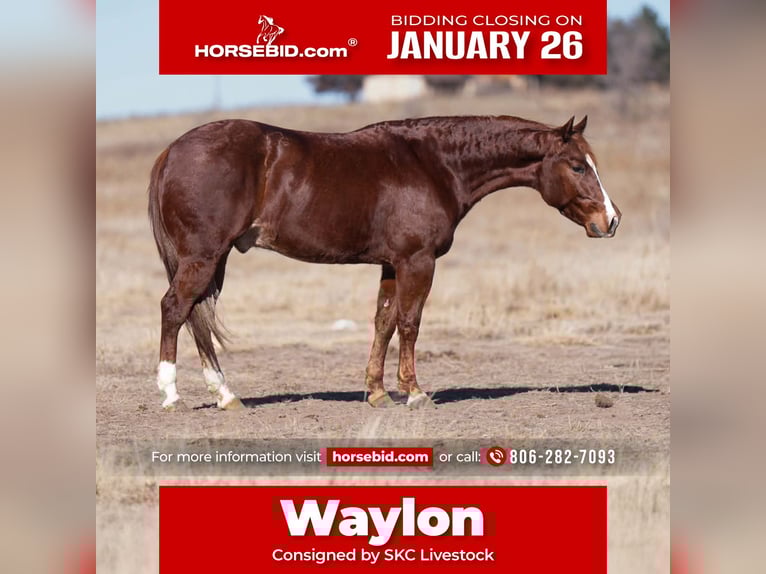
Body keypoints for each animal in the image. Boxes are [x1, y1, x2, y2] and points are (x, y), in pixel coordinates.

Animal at [147, 115, 621, 411]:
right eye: (578, 166)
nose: (611, 220)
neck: (433, 164)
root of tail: (170, 150)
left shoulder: (392, 265)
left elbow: (384, 322)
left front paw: (377, 393)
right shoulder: (417, 261)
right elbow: (410, 323)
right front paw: (414, 392)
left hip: (213, 260)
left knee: (197, 317)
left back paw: (226, 395)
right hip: (204, 257)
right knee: (175, 308)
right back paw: (171, 395)